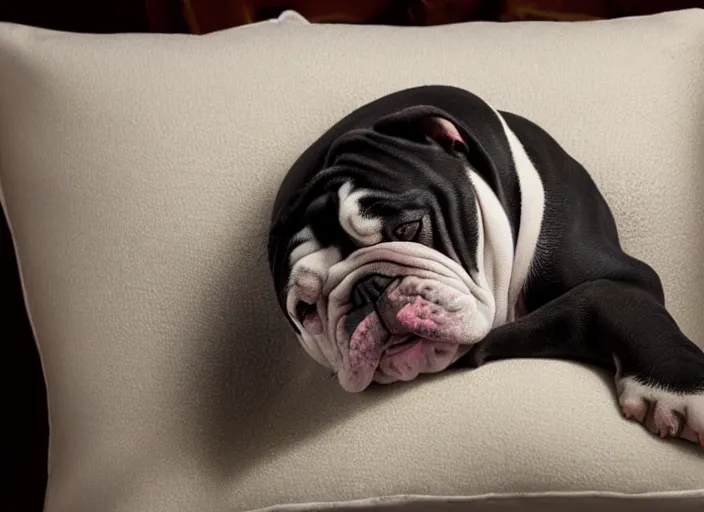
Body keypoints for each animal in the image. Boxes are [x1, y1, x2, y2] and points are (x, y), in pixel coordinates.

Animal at [268, 86, 704, 446]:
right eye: (305, 311)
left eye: (408, 227)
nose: (368, 289)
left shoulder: (624, 277)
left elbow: (618, 301)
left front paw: (679, 389)